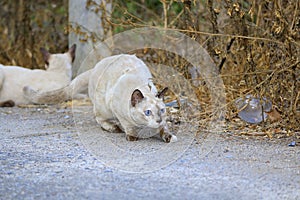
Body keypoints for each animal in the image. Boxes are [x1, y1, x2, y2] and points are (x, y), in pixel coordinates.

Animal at [24, 54, 178, 143]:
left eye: (162, 111)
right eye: (147, 112)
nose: (158, 120)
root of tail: (95, 67)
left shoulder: (163, 123)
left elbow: (165, 129)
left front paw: (169, 137)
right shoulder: (119, 113)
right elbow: (129, 128)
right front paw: (132, 136)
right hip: (103, 108)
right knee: (100, 119)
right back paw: (114, 128)